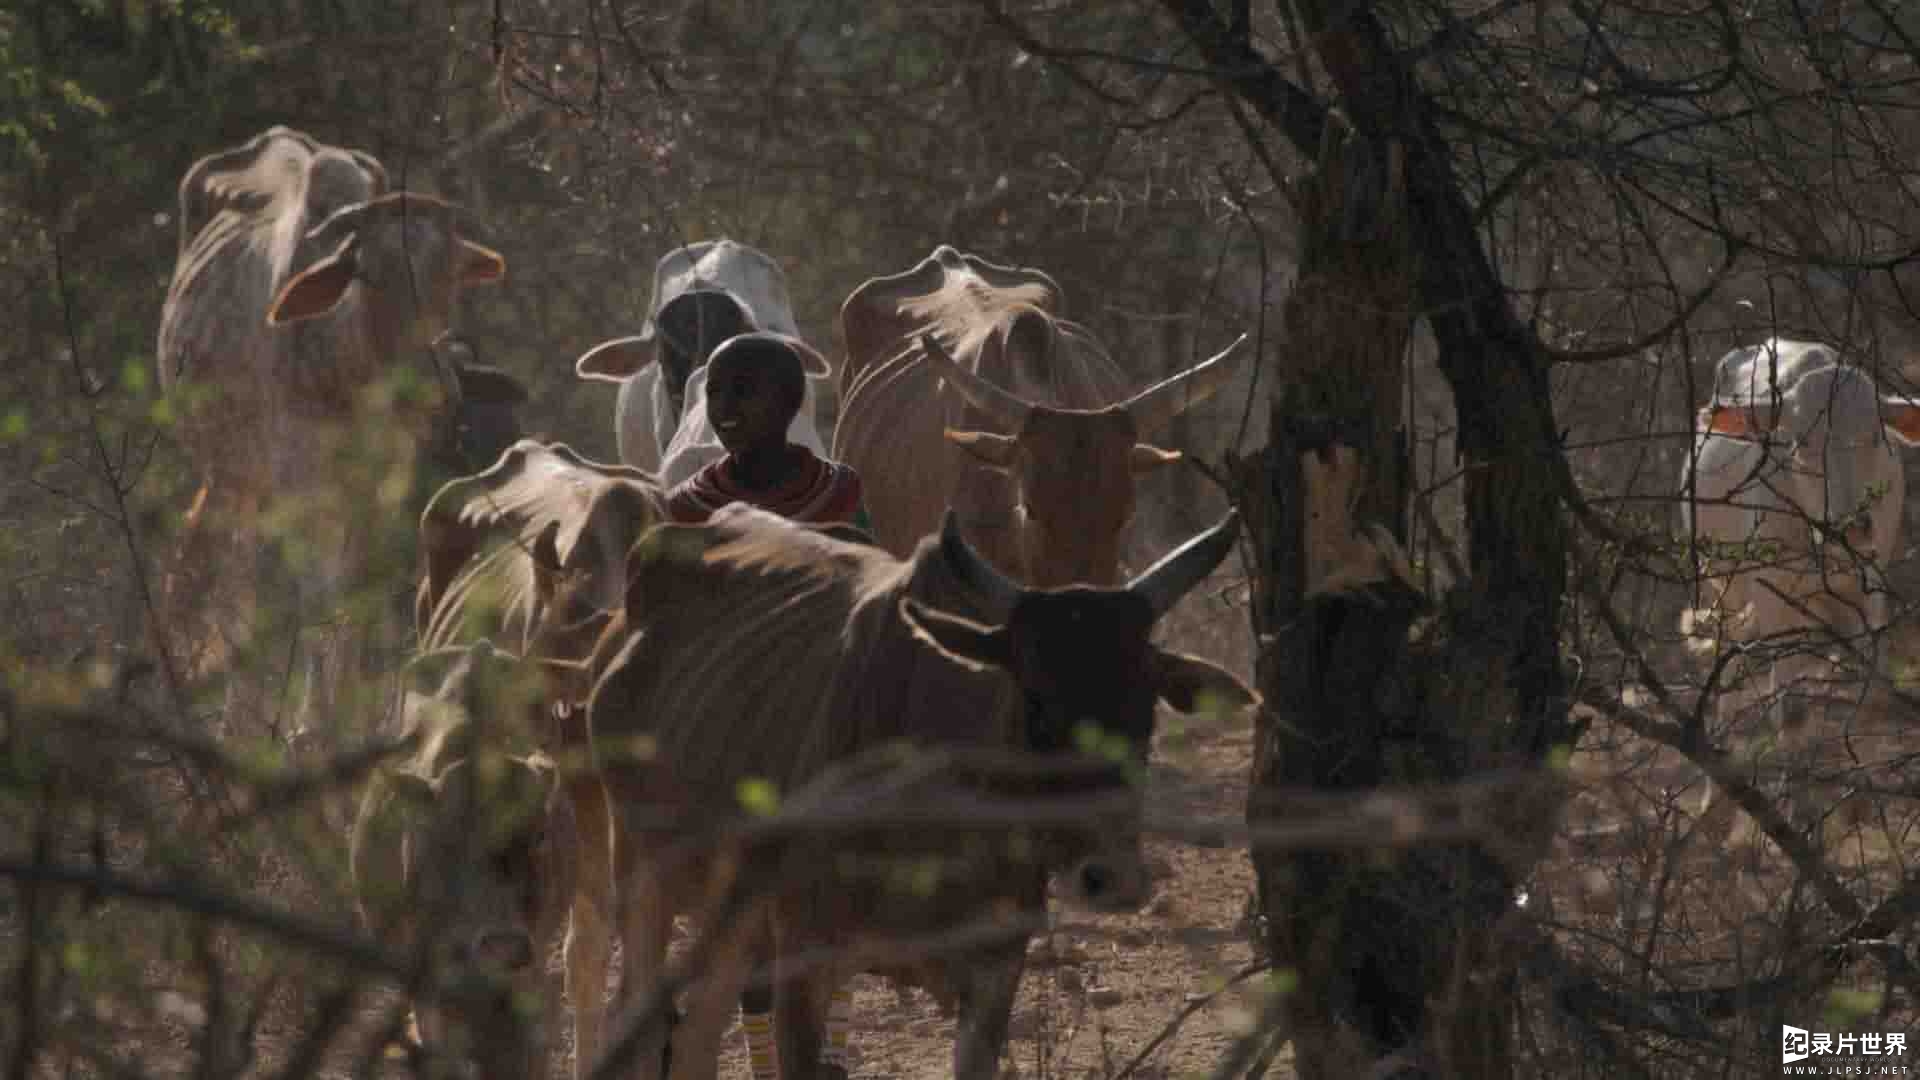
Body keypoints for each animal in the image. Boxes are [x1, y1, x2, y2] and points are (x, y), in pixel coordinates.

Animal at [155, 125, 503, 745]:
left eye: (446, 278)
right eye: (369, 274)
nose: (433, 381)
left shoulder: (383, 485)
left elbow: (361, 588)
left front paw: (349, 714)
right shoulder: (300, 486)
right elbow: (318, 591)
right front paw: (310, 724)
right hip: (237, 479)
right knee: (237, 584)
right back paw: (240, 715)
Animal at [583, 503, 1259, 1076]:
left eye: (1146, 705)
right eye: (1036, 705)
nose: (1111, 877)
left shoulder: (993, 974)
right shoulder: (805, 963)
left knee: (694, 1039)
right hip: (642, 876)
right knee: (638, 1026)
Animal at [1674, 336, 1920, 807]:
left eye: (1875, 438)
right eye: (1799, 444)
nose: (1851, 526)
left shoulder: (1871, 586)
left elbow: (1867, 690)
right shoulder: (1773, 598)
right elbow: (1790, 711)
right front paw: (1797, 806)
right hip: (1723, 585)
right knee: (1727, 664)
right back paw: (1716, 787)